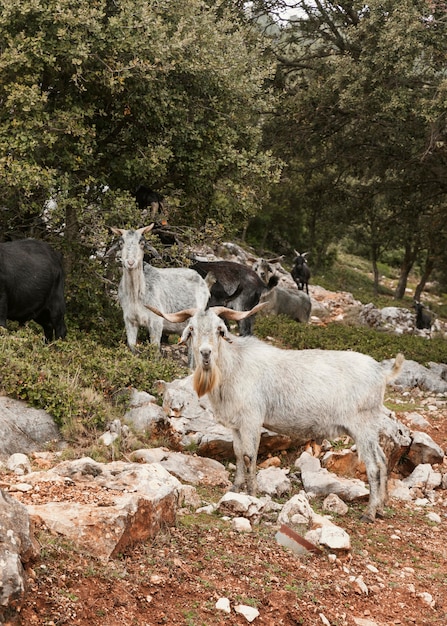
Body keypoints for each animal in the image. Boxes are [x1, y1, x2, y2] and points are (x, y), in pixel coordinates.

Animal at [148, 302, 406, 520]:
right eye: (191, 329)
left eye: (220, 330)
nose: (205, 353)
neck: (234, 366)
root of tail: (381, 373)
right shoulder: (236, 425)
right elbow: (238, 453)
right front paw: (235, 488)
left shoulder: (252, 419)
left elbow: (249, 455)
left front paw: (251, 493)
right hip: (367, 428)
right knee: (383, 460)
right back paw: (381, 507)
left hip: (363, 426)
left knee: (374, 466)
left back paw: (370, 513)